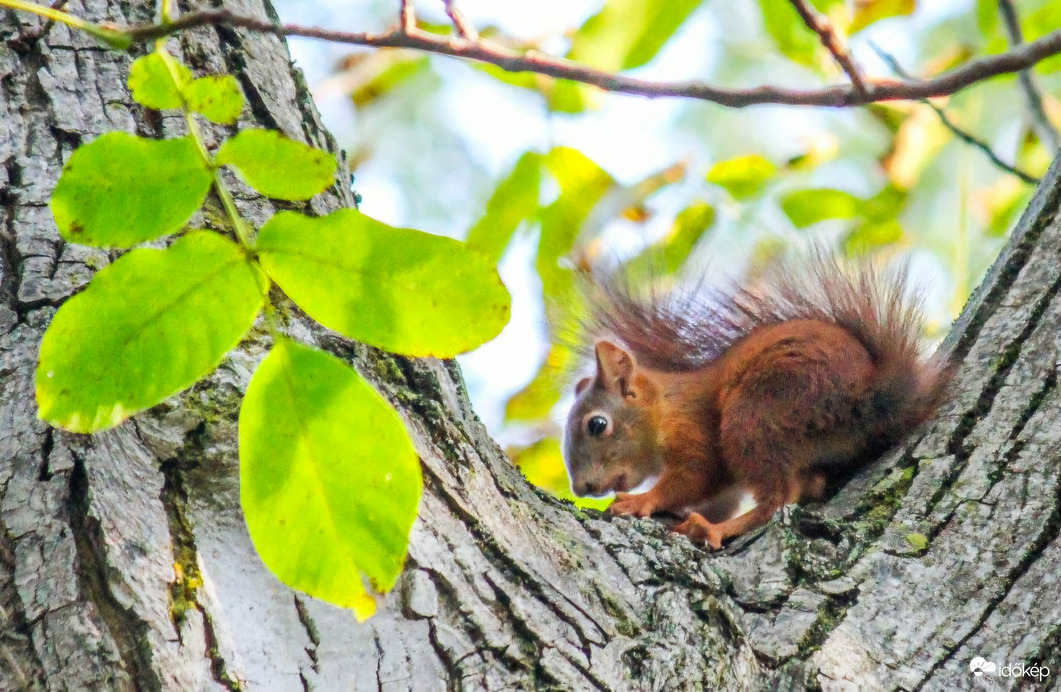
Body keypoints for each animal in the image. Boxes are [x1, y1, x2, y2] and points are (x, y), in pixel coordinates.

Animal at [564, 251, 954, 547]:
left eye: (597, 425)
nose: (582, 488)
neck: (664, 406)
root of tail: (869, 399)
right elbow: (718, 496)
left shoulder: (694, 430)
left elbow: (696, 476)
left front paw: (641, 500)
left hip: (757, 412)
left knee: (776, 500)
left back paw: (713, 529)